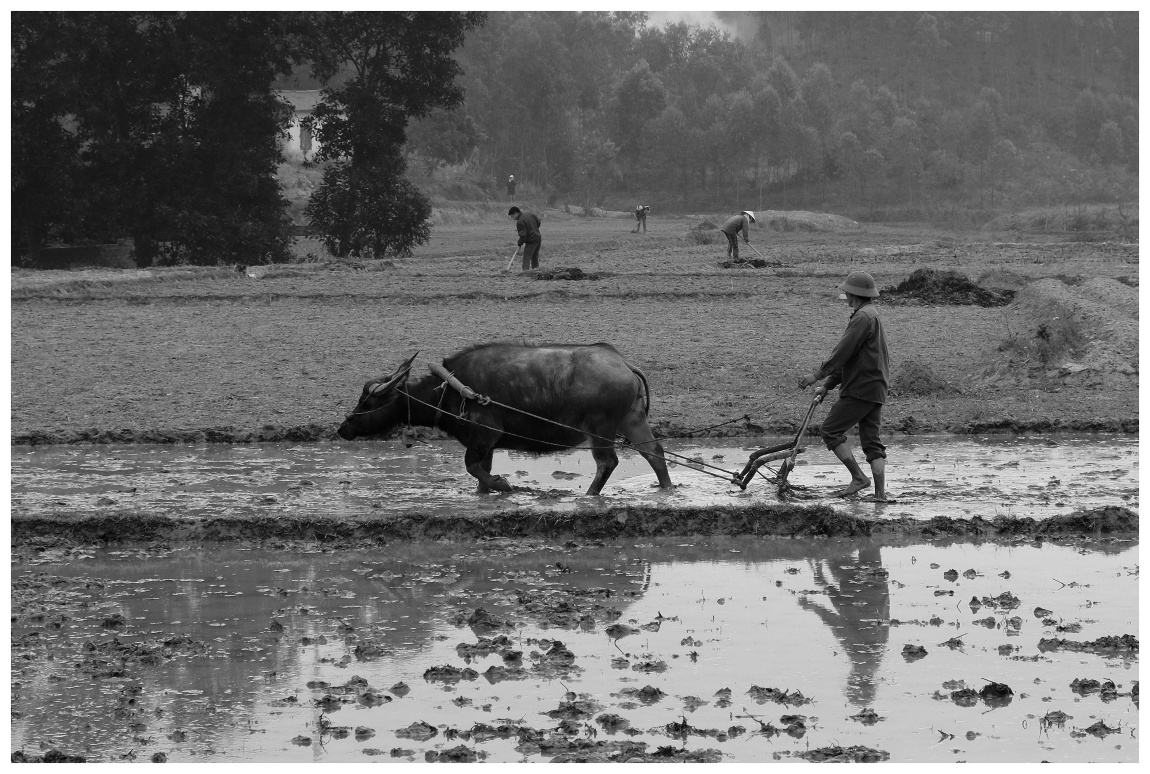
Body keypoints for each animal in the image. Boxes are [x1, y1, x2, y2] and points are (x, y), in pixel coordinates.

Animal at [333, 345, 671, 494]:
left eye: (367, 400)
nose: (343, 428)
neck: (451, 388)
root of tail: (623, 363)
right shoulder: (486, 443)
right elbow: (479, 473)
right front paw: (489, 489)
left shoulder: (486, 433)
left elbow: (472, 467)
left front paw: (503, 484)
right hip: (632, 419)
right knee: (654, 453)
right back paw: (666, 488)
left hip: (600, 429)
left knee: (607, 462)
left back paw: (588, 496)